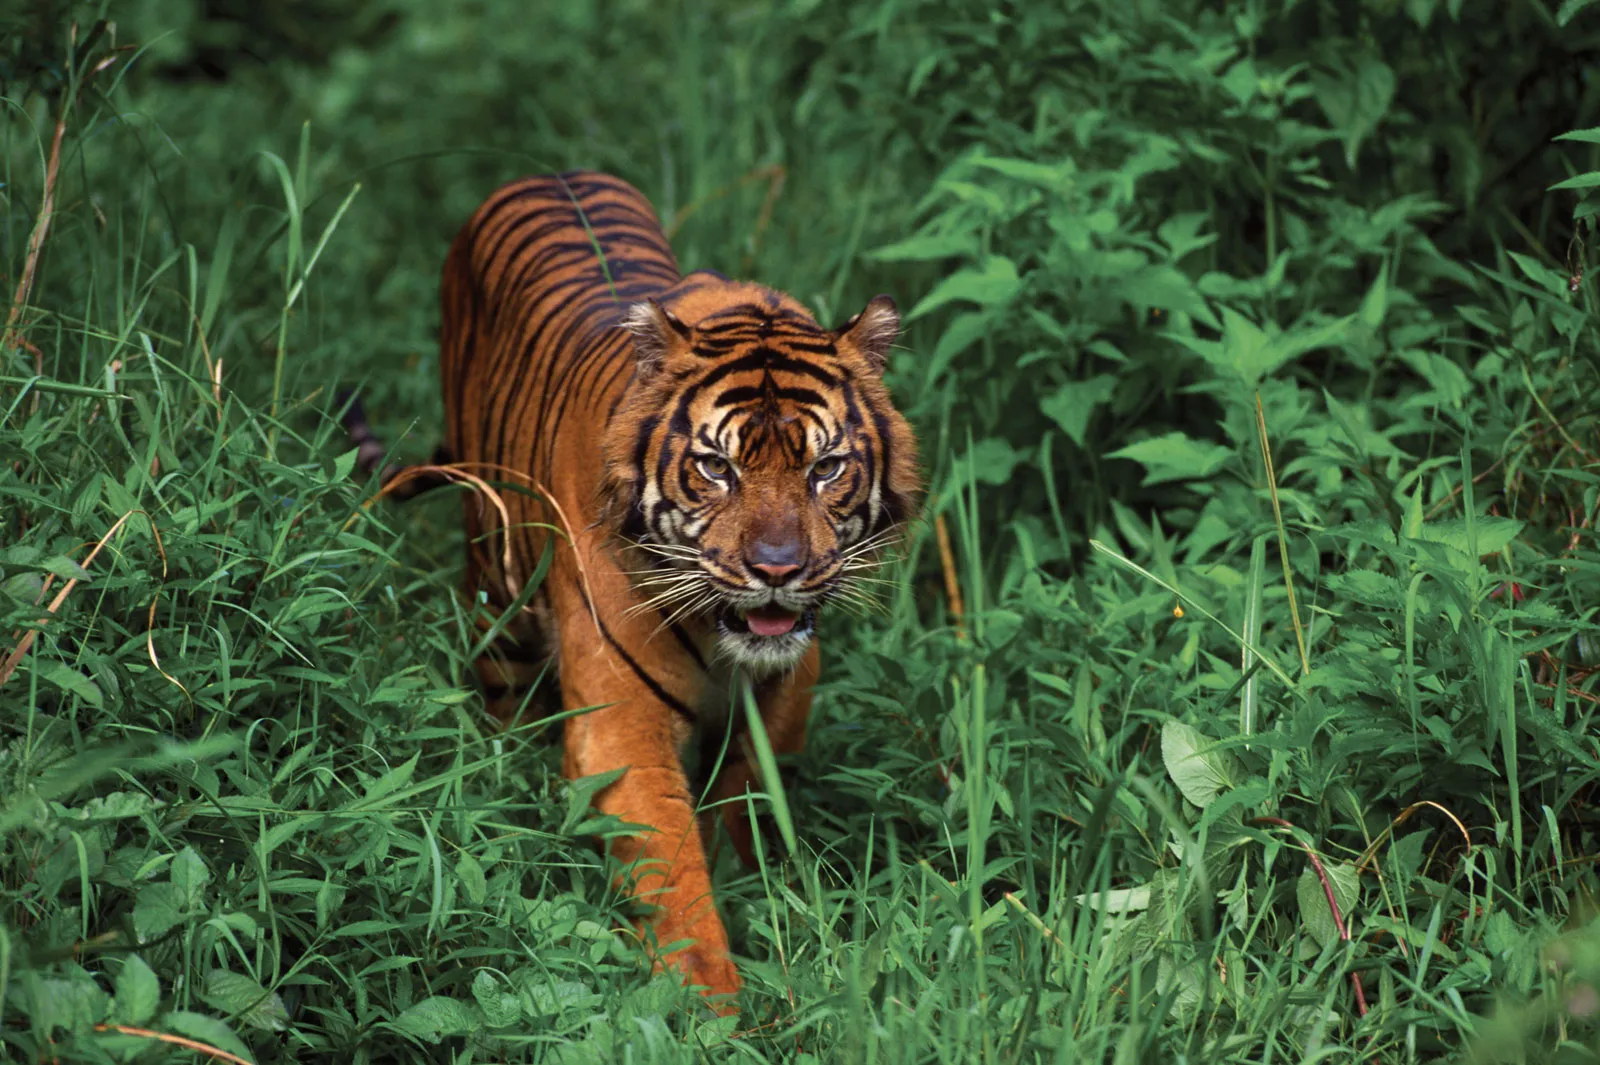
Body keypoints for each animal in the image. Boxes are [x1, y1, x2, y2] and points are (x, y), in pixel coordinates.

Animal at [342, 170, 920, 1011]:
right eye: (717, 468)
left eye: (826, 468)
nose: (777, 568)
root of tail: (544, 173)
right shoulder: (622, 724)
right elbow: (673, 878)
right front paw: (714, 1010)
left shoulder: (786, 692)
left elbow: (741, 808)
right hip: (494, 588)